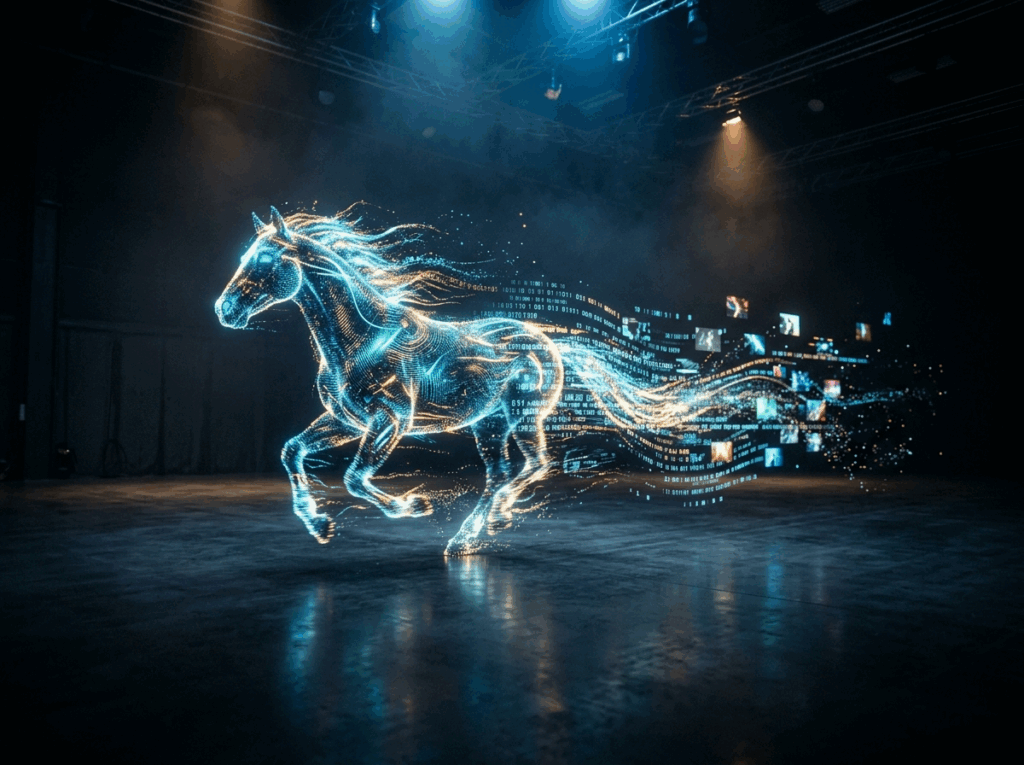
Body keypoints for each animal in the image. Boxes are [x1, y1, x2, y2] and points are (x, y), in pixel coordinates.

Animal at [216, 207, 565, 556]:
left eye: (265, 257)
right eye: (245, 256)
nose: (224, 309)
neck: (363, 342)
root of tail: (543, 341)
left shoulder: (392, 419)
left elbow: (354, 477)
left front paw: (414, 505)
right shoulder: (346, 421)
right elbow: (292, 451)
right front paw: (319, 525)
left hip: (522, 418)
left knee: (536, 463)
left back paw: (482, 526)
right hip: (490, 424)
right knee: (501, 473)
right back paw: (476, 532)